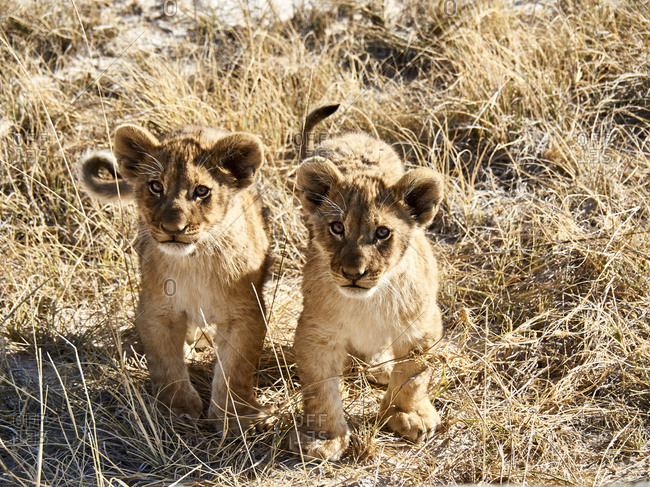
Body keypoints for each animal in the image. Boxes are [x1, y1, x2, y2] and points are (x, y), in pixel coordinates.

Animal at [80, 124, 271, 433]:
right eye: (156, 186)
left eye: (202, 191)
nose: (173, 228)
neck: (194, 261)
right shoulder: (157, 312)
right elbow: (166, 363)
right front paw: (178, 409)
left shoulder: (246, 313)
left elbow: (235, 369)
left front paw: (232, 416)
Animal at [289, 105, 445, 460]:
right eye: (337, 228)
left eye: (382, 233)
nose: (353, 273)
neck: (370, 301)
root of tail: (350, 135)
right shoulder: (316, 333)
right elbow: (321, 388)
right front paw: (324, 437)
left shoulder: (422, 327)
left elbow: (413, 377)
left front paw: (407, 415)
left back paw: (380, 367)